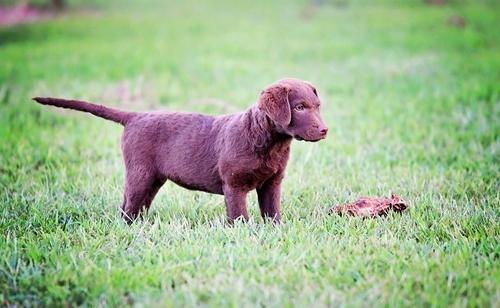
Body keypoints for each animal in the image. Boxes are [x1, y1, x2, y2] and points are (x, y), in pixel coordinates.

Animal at [32, 79, 328, 224]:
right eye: (300, 107)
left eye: (317, 106)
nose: (325, 130)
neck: (268, 142)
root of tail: (134, 116)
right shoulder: (234, 185)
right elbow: (239, 217)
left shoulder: (272, 183)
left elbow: (272, 213)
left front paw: (275, 232)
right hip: (140, 173)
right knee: (128, 206)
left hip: (153, 179)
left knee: (137, 206)